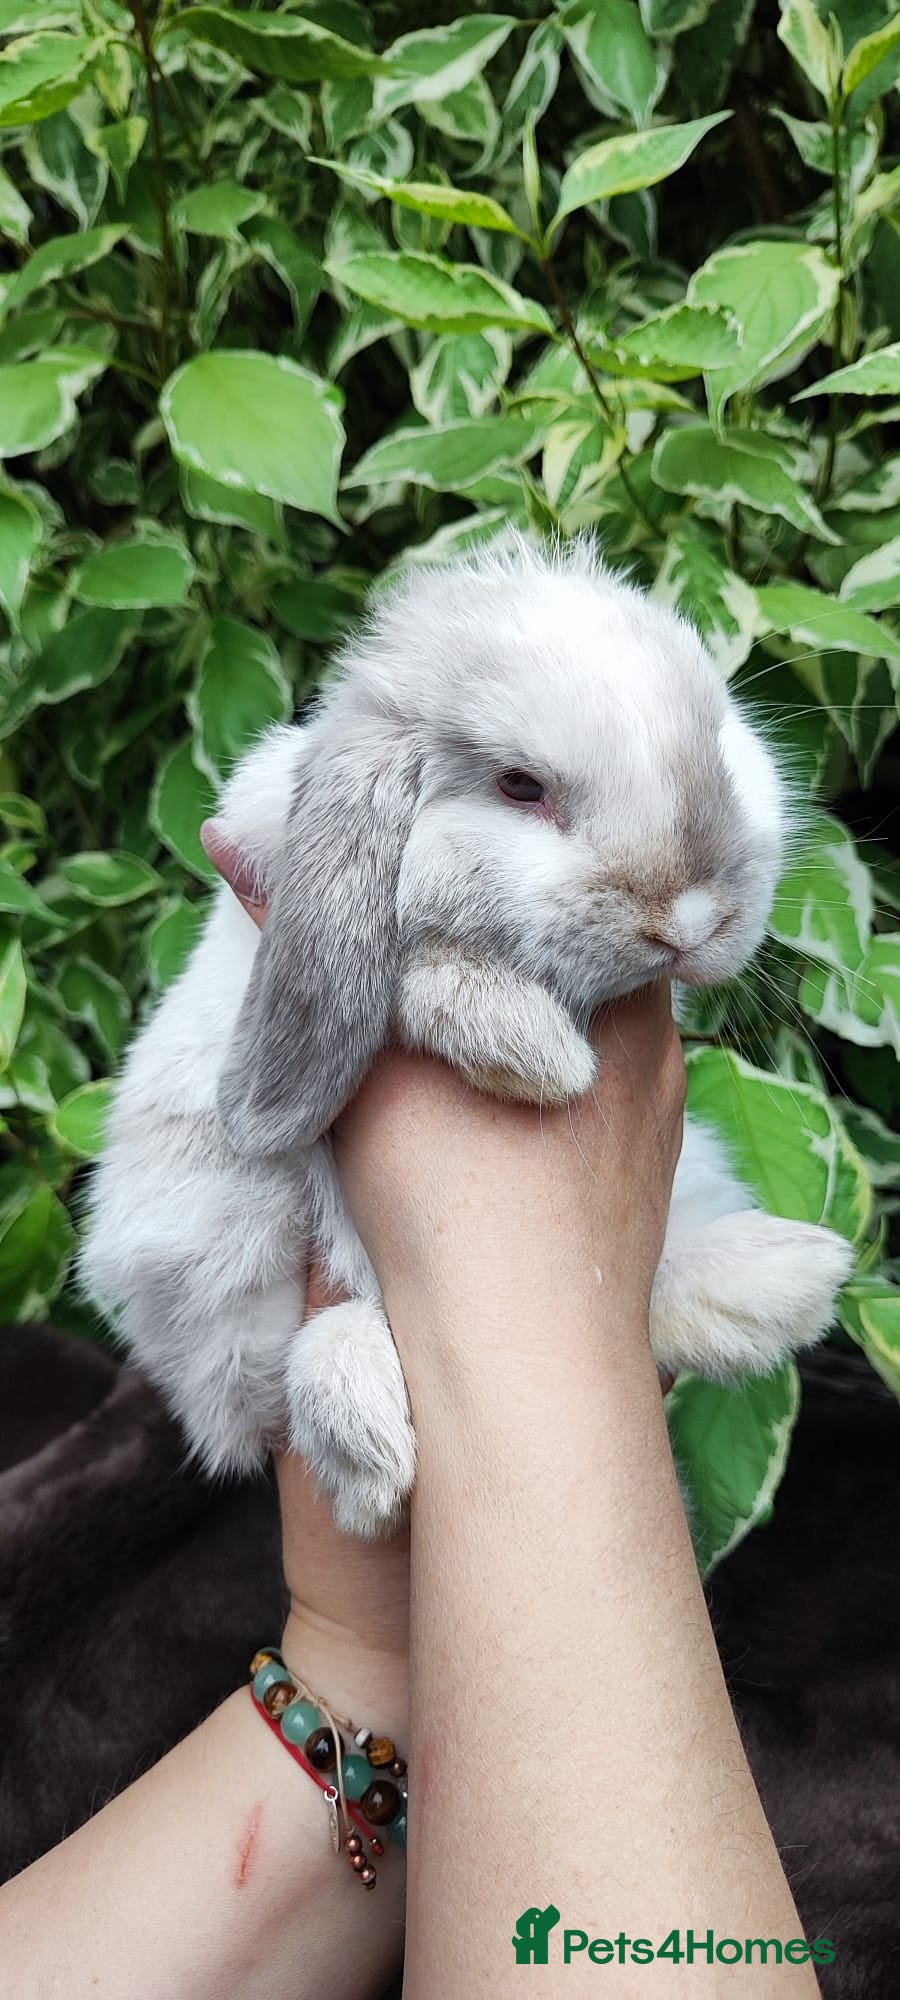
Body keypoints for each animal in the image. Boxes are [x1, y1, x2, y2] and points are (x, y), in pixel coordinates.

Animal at [80, 537, 855, 1538]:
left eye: (720, 737)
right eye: (520, 786)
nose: (690, 920)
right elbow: (412, 976)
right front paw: (535, 1051)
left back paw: (787, 1278)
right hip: (204, 1250)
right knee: (290, 1360)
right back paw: (368, 1451)